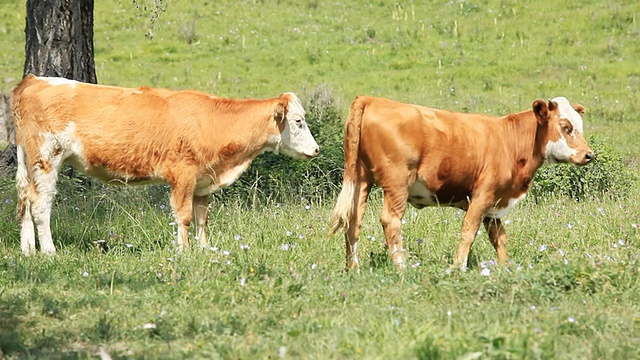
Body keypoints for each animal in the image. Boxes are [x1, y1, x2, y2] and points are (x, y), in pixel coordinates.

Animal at [10, 74, 320, 255]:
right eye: (298, 121)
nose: (316, 149)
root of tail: (34, 80)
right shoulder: (182, 175)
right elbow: (184, 216)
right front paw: (183, 251)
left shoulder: (203, 180)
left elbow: (202, 217)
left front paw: (205, 249)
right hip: (47, 157)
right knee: (41, 205)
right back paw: (49, 251)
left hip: (26, 162)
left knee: (23, 200)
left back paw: (28, 251)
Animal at [330, 95, 596, 270]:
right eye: (566, 127)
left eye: (580, 126)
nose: (589, 155)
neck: (511, 141)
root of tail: (373, 99)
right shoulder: (482, 195)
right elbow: (468, 231)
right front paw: (458, 267)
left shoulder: (495, 204)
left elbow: (499, 237)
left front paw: (505, 267)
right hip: (397, 182)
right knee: (390, 220)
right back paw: (402, 266)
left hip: (361, 179)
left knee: (353, 221)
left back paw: (353, 268)